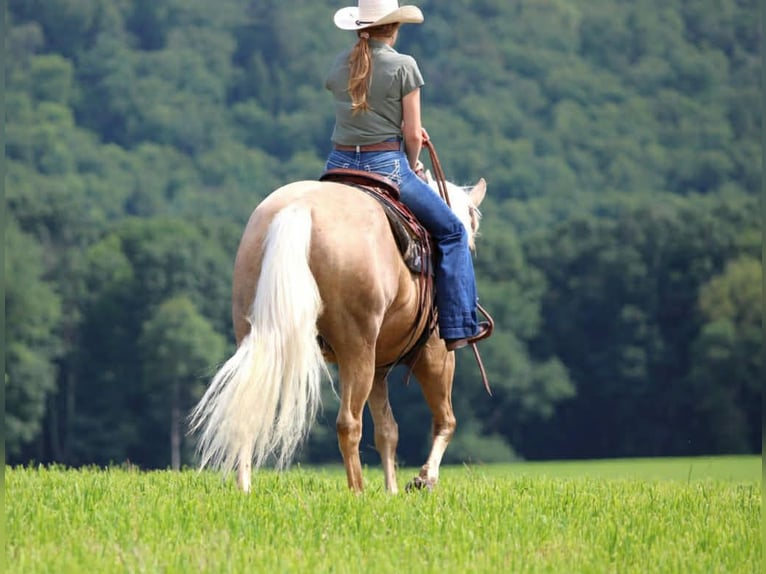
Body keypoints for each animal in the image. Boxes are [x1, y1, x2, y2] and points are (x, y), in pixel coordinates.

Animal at [189, 171, 487, 493]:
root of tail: (300, 207)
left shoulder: (379, 368)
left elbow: (387, 431)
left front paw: (392, 491)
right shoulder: (434, 352)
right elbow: (445, 421)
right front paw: (423, 479)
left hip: (256, 335)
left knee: (248, 403)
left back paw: (245, 488)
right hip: (357, 349)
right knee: (349, 423)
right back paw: (357, 491)